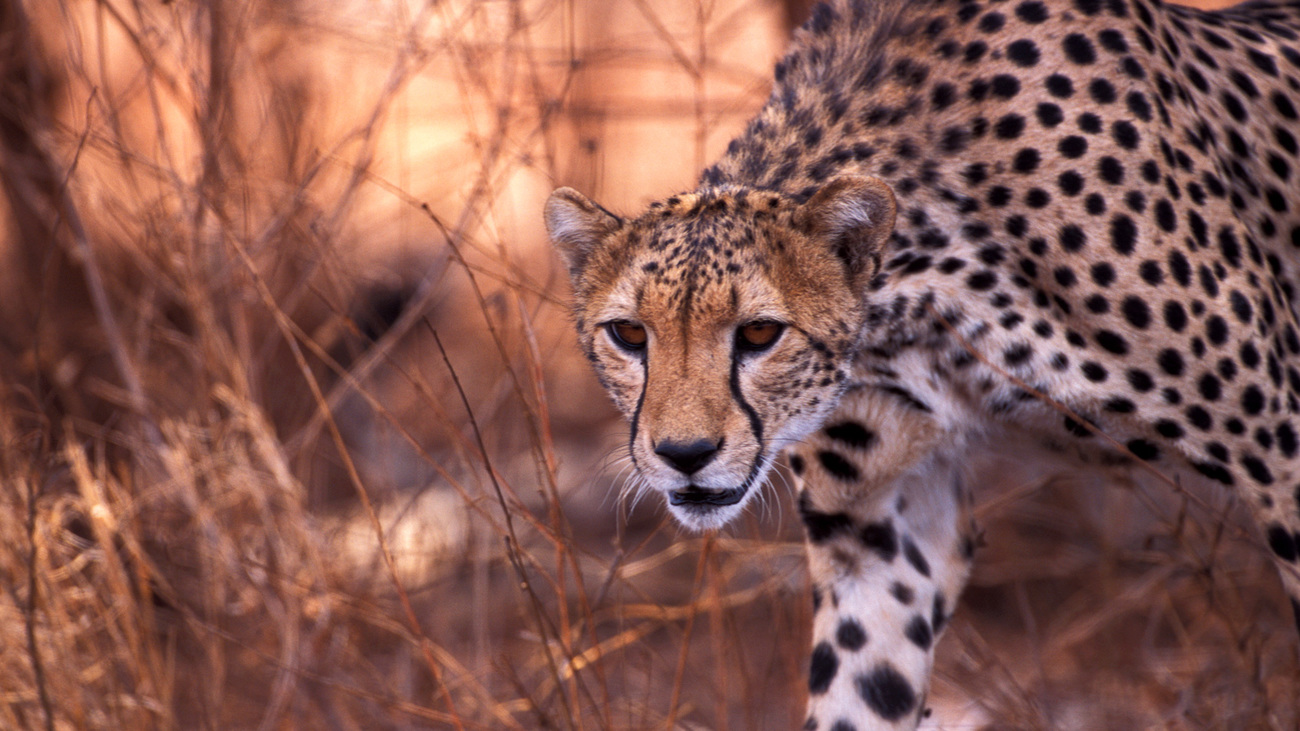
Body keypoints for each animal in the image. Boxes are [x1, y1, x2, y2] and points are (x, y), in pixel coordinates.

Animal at [544, 0, 1300, 727]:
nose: (685, 455)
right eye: (629, 334)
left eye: (759, 332)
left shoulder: (1280, 455)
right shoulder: (875, 534)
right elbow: (863, 690)